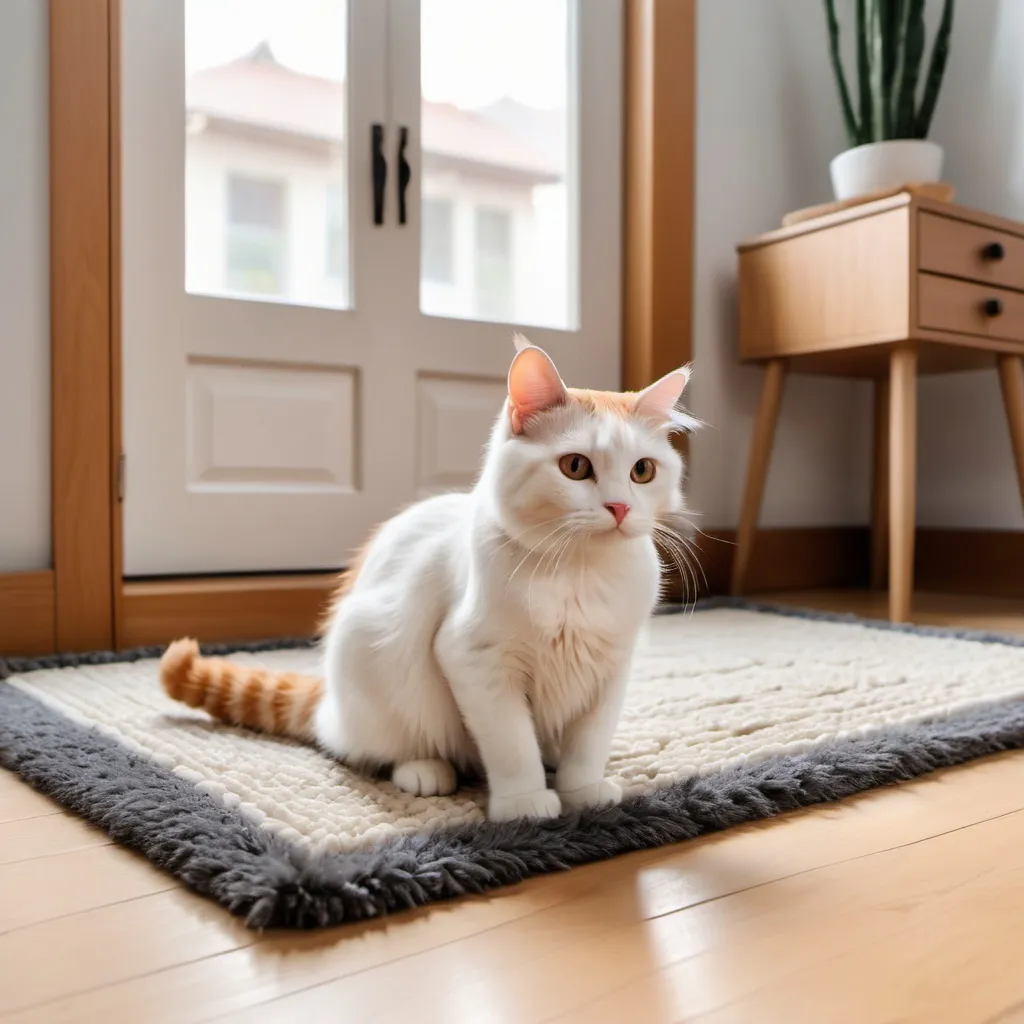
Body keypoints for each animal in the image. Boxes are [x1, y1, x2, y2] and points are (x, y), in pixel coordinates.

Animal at [159, 337, 700, 823]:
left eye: (643, 471)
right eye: (575, 467)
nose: (620, 507)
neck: (580, 575)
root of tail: (328, 702)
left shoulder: (610, 668)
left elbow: (588, 743)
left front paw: (583, 793)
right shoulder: (475, 658)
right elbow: (512, 744)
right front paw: (525, 804)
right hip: (376, 657)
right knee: (375, 748)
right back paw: (425, 771)